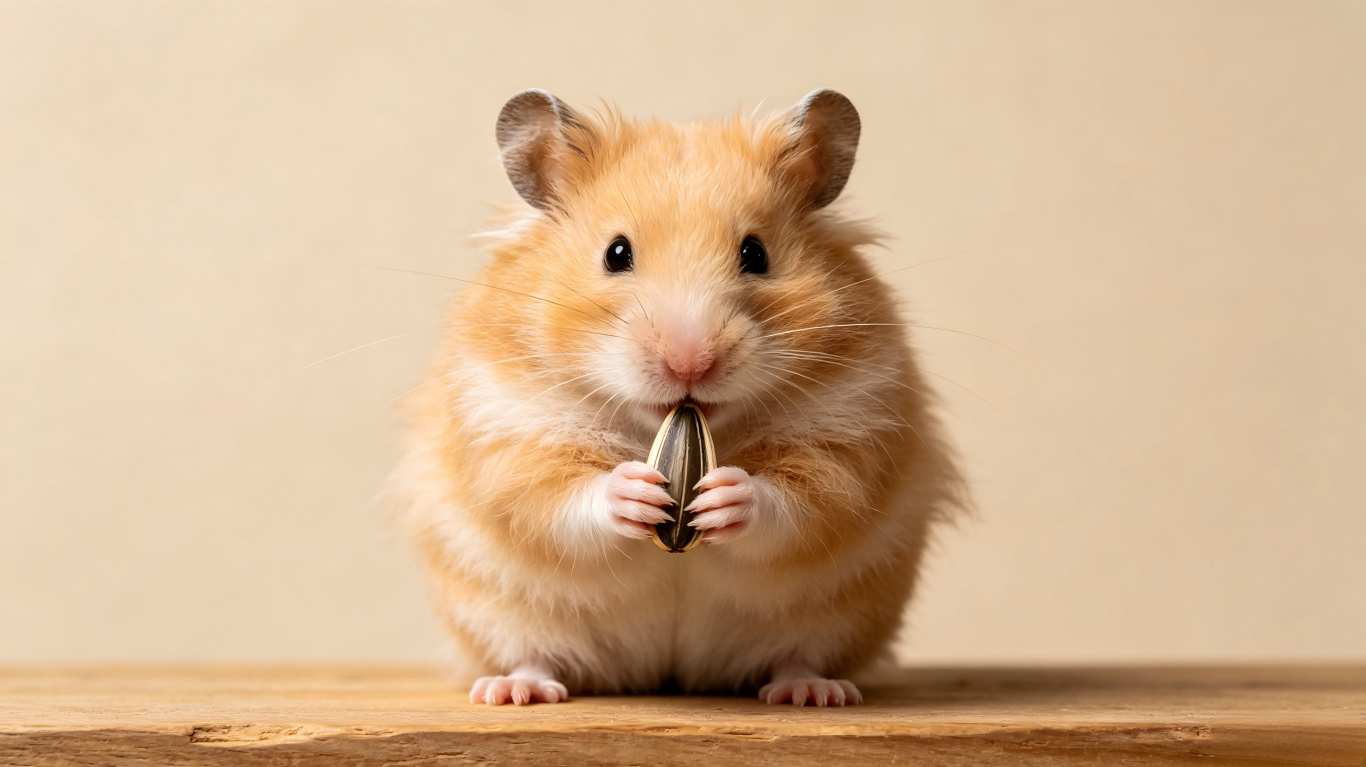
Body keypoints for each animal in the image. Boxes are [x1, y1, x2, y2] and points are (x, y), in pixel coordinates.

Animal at [395, 89, 963, 707]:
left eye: (756, 254)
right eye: (616, 253)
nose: (690, 363)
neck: (667, 422)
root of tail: (667, 672)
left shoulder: (852, 433)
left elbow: (795, 503)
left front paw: (724, 494)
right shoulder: (507, 434)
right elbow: (559, 499)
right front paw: (637, 490)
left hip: (833, 623)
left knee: (797, 657)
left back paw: (814, 692)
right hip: (502, 619)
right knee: (531, 656)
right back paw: (512, 692)